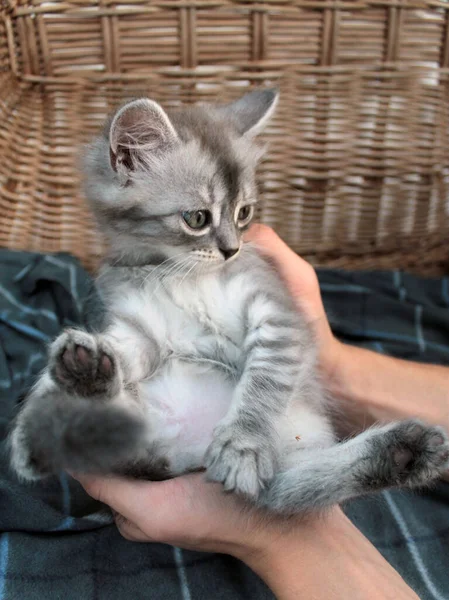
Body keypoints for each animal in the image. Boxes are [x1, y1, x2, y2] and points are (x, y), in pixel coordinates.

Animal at [9, 91, 448, 512]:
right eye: (197, 218)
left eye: (244, 213)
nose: (232, 250)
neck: (179, 272)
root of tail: (178, 449)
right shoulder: (140, 332)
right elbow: (122, 351)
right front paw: (90, 362)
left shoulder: (275, 316)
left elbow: (263, 383)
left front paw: (243, 445)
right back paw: (71, 398)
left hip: (293, 443)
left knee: (288, 489)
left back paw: (406, 453)